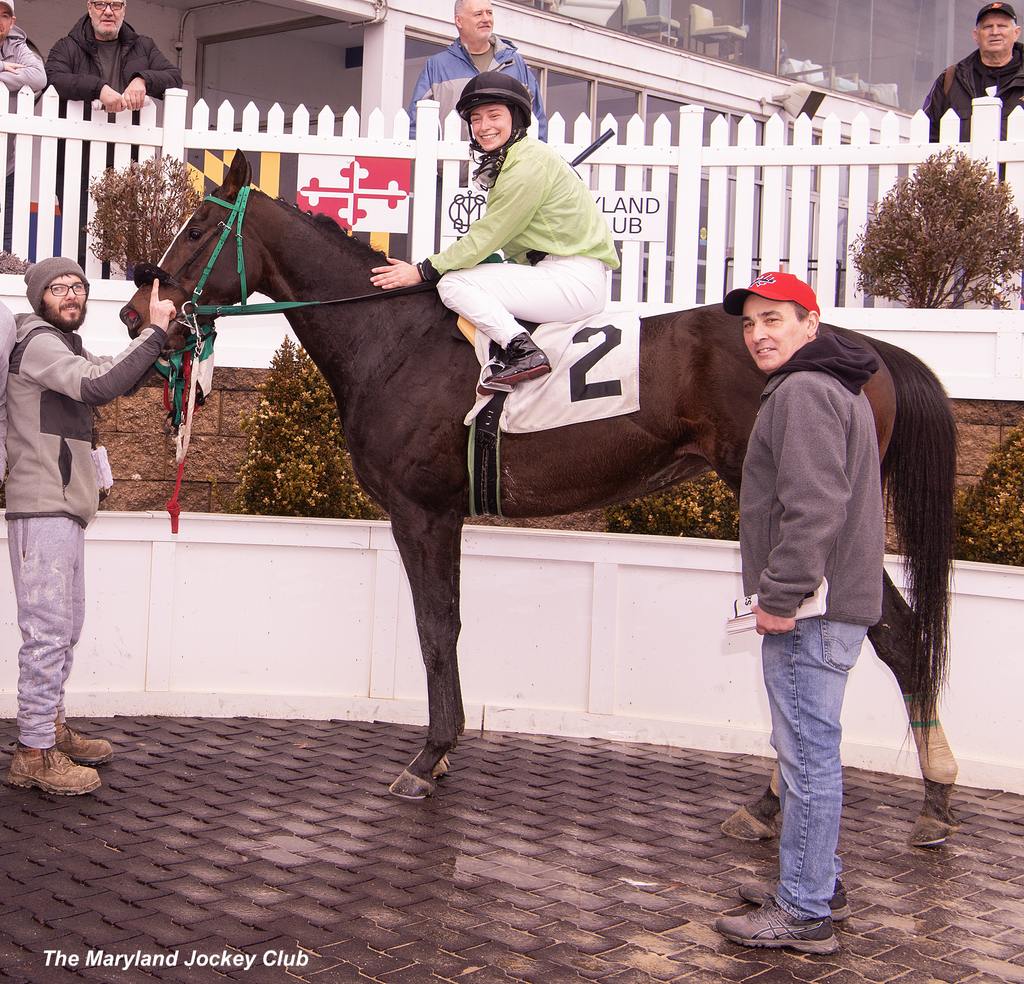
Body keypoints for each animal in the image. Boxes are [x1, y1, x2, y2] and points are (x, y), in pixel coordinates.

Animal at [121, 151, 958, 843]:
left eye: (197, 230)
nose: (136, 314)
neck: (393, 338)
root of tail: (862, 349)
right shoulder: (440, 516)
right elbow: (447, 625)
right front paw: (441, 752)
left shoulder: (423, 512)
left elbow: (435, 628)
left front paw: (429, 757)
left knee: (892, 635)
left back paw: (922, 794)